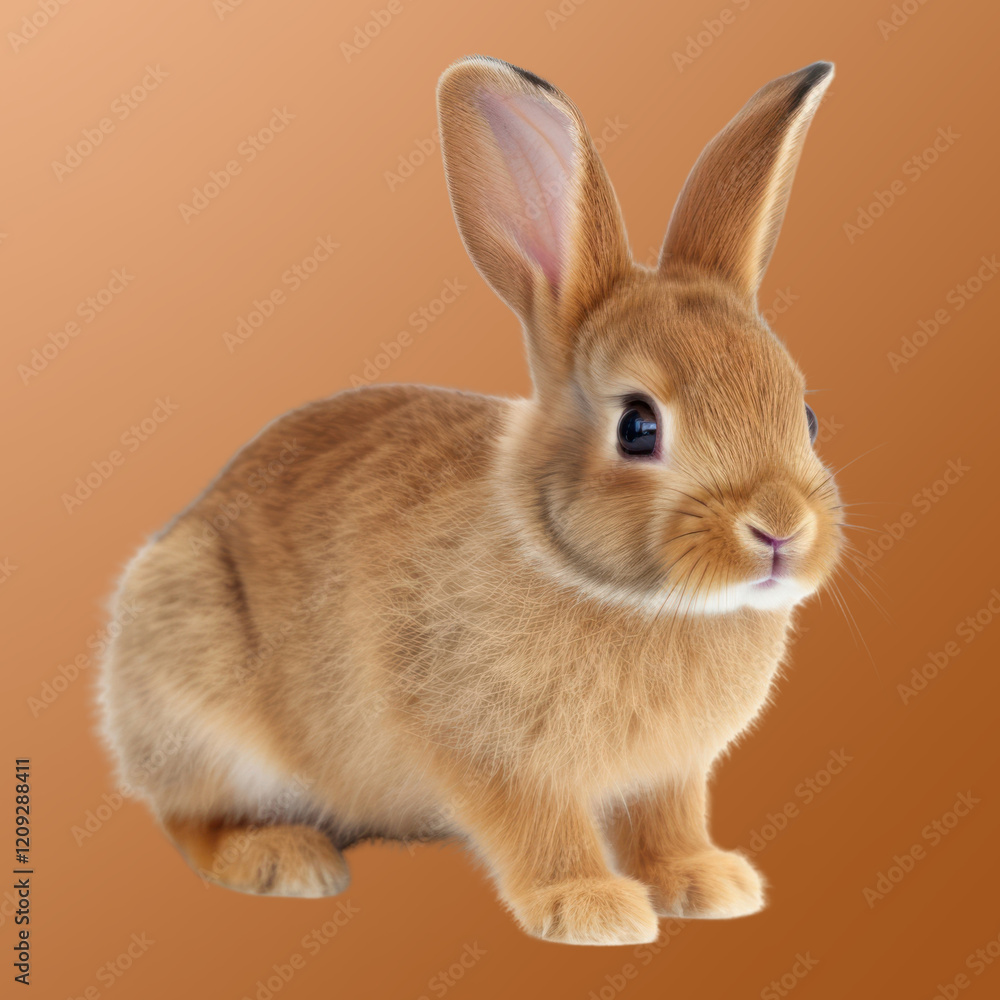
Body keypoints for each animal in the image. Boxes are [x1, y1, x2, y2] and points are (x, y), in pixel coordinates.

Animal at [98, 55, 843, 946]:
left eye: (805, 416)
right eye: (637, 426)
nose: (781, 531)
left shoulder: (670, 773)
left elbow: (669, 822)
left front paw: (707, 885)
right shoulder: (493, 756)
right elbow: (537, 826)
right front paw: (589, 907)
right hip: (199, 686)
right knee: (190, 815)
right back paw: (284, 860)